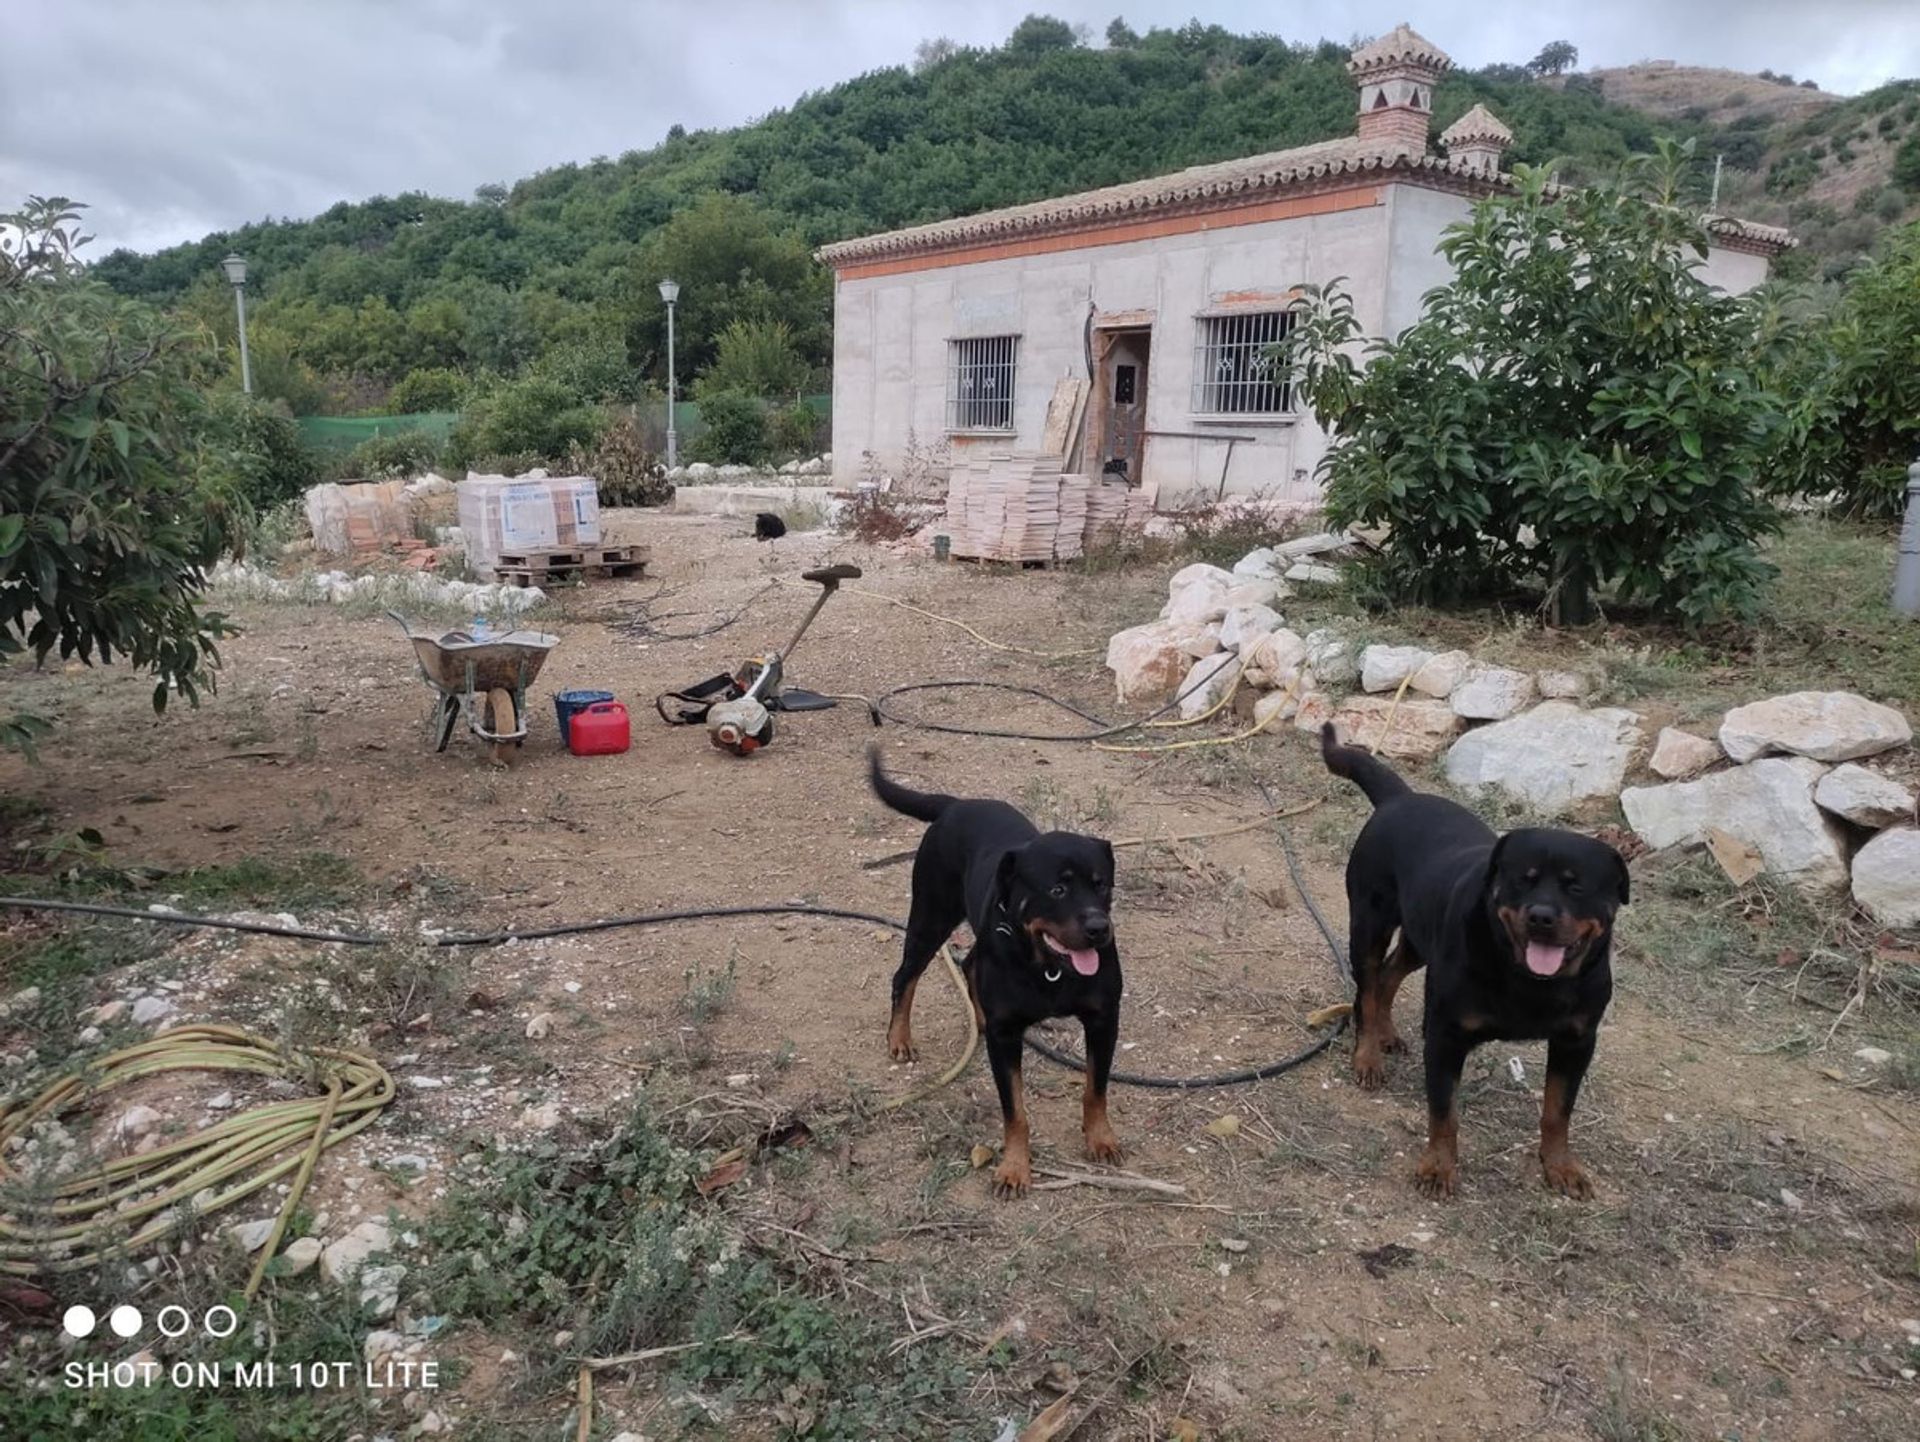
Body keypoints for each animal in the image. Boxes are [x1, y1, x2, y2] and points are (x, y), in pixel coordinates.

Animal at [864, 748, 1121, 1198]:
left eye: (1101, 884)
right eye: (1057, 889)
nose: (1098, 928)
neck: (1049, 969)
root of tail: (954, 805)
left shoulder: (1104, 1020)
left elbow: (1096, 1089)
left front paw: (1100, 1138)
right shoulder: (1006, 1039)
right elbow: (1015, 1111)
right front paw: (1014, 1168)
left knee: (968, 963)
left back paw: (977, 1016)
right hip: (930, 917)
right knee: (905, 977)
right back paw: (900, 1038)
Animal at [1328, 725, 1628, 1198]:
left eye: (1576, 887)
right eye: (1522, 880)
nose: (1541, 916)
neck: (1529, 980)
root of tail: (1401, 798)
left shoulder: (1577, 1041)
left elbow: (1558, 1110)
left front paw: (1560, 1165)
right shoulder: (1447, 1036)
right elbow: (1444, 1111)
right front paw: (1438, 1167)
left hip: (1421, 937)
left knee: (1390, 975)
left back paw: (1387, 1034)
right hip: (1369, 925)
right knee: (1367, 991)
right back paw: (1368, 1055)